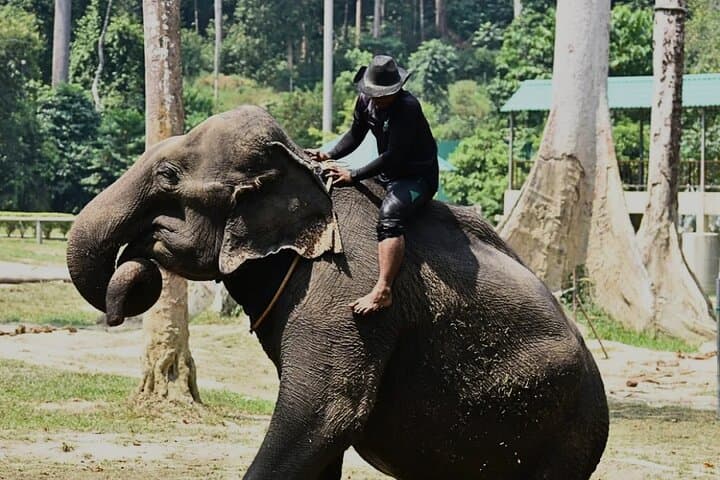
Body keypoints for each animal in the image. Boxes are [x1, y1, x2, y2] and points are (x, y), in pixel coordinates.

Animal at [66, 106, 609, 479]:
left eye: (168, 177)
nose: (132, 273)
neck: (296, 165)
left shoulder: (344, 296)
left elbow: (322, 415)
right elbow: (320, 440)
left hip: (562, 435)